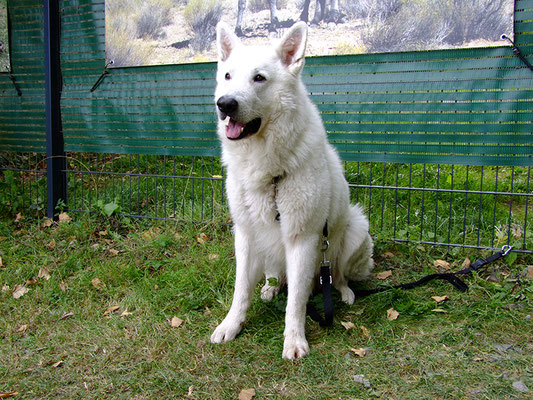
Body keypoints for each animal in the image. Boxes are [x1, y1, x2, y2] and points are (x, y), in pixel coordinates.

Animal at [210, 21, 372, 360]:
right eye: (228, 76)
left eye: (259, 78)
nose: (225, 104)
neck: (268, 170)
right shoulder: (245, 234)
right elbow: (240, 290)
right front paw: (231, 325)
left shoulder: (304, 238)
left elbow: (295, 301)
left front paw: (295, 340)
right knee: (277, 275)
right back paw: (271, 287)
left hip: (354, 230)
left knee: (336, 274)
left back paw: (344, 292)